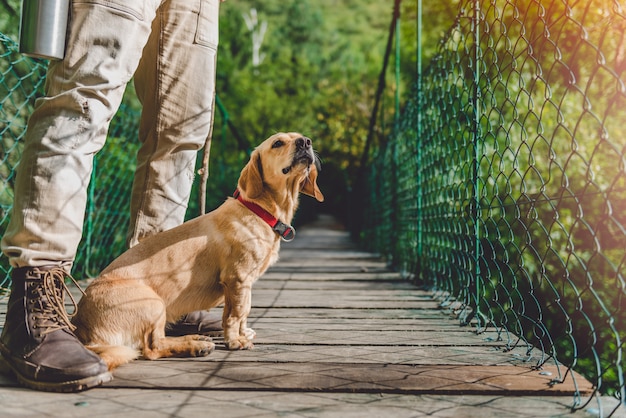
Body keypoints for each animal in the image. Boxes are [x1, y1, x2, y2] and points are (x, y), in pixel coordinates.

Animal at [72, 133, 322, 370]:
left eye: (301, 138)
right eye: (278, 143)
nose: (305, 142)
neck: (258, 210)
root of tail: (83, 330)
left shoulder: (243, 285)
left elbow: (241, 312)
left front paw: (242, 334)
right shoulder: (238, 279)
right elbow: (236, 314)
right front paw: (235, 341)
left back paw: (195, 339)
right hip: (153, 304)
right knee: (152, 348)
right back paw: (195, 346)